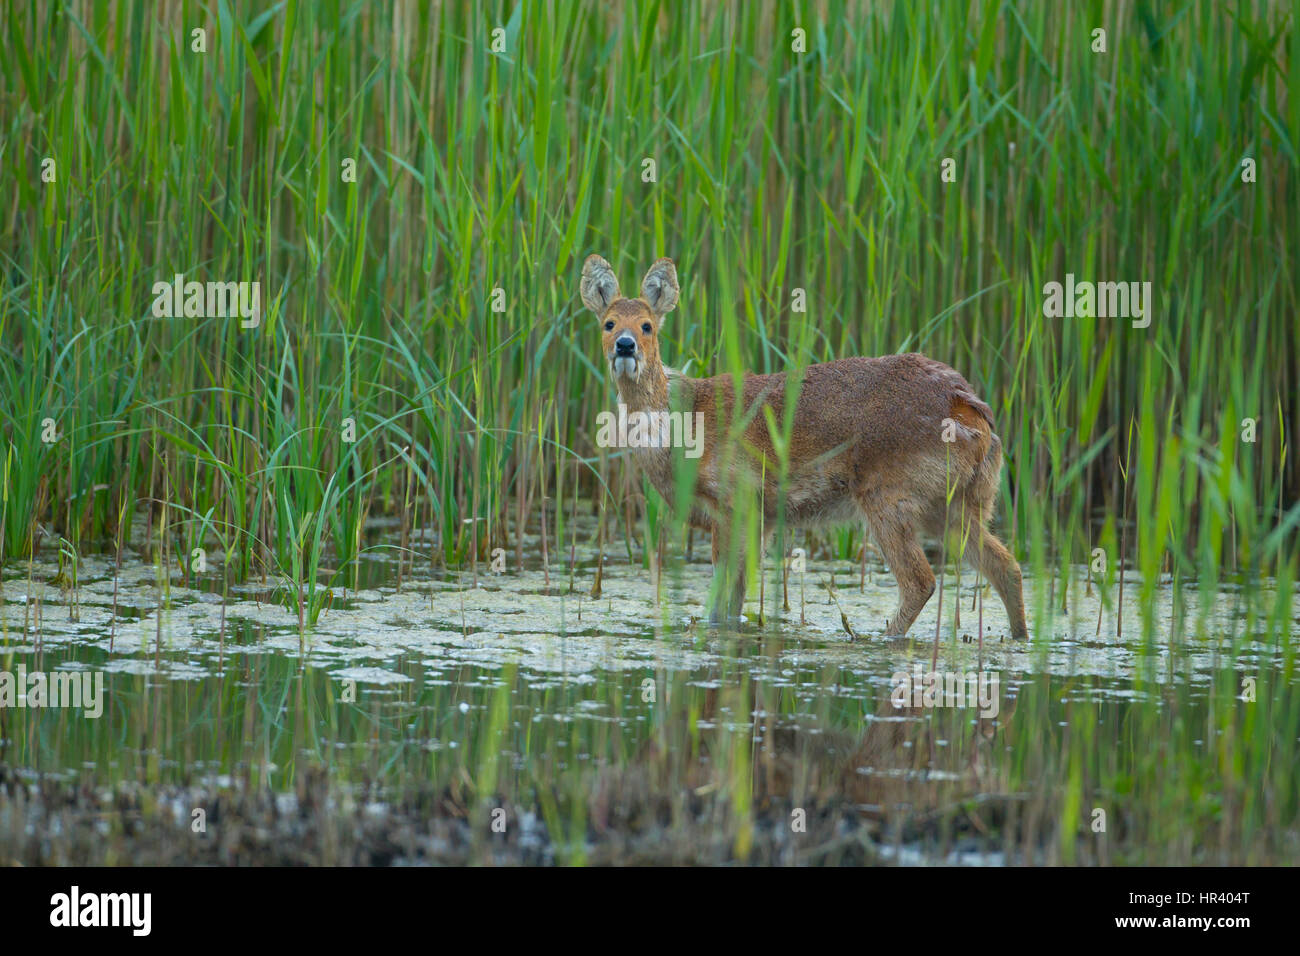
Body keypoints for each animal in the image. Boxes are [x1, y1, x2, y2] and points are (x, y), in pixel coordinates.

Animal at [585, 256, 1029, 642]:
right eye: (608, 323)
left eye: (647, 325)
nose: (625, 345)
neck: (680, 426)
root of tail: (973, 412)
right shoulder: (760, 516)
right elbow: (734, 598)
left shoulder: (735, 498)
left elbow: (721, 596)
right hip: (958, 501)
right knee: (1006, 565)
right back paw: (1020, 636)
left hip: (889, 493)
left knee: (921, 580)